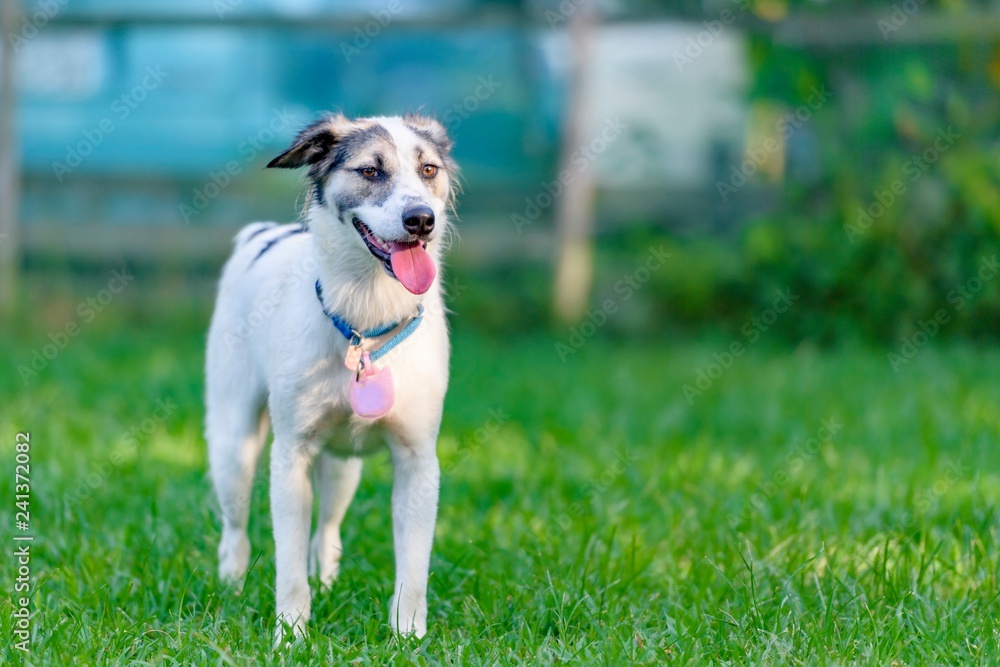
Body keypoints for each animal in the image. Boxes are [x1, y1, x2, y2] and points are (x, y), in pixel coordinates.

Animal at [207, 113, 458, 640]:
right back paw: (231, 588)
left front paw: (408, 635)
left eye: (428, 169)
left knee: (326, 533)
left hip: (343, 468)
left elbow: (413, 569)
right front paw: (291, 636)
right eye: (370, 171)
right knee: (235, 532)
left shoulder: (418, 461)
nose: (421, 219)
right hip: (232, 447)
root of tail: (261, 234)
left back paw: (327, 584)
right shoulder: (290, 457)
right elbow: (287, 567)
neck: (366, 319)